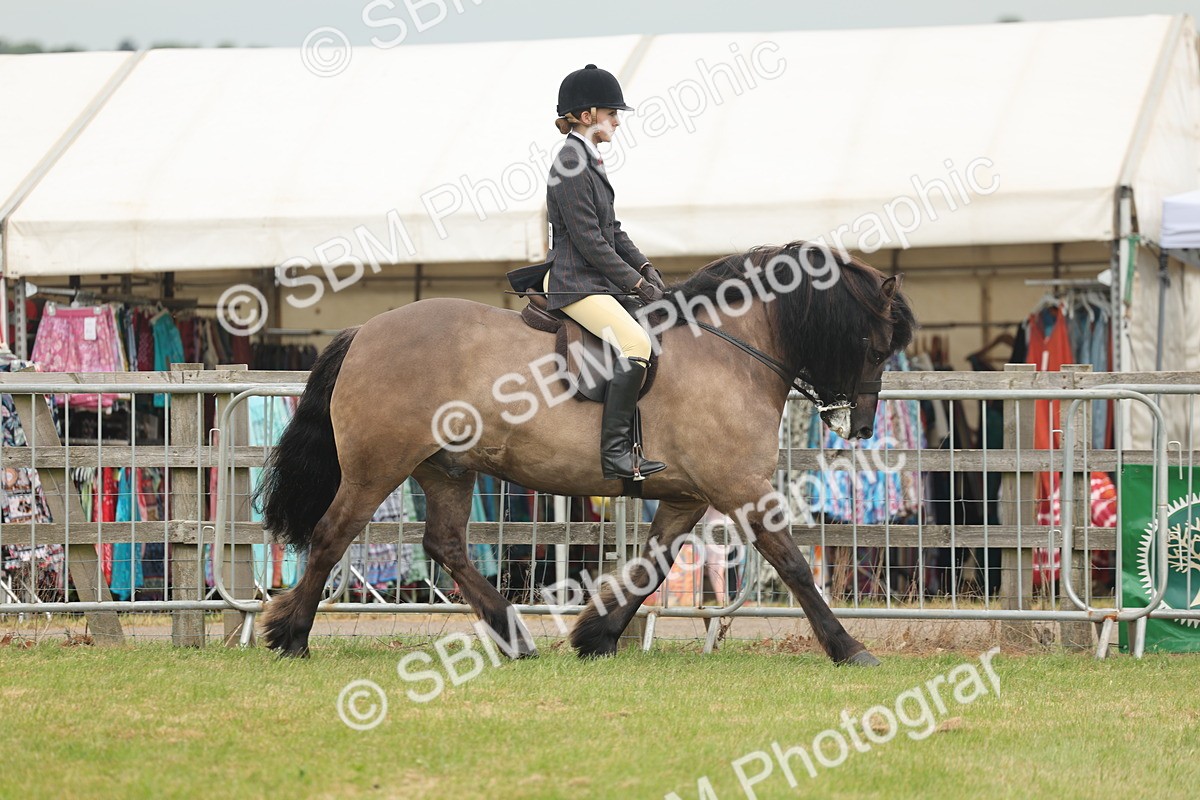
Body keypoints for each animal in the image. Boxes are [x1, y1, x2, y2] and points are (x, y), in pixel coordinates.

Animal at [255, 241, 916, 665]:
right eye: (874, 345)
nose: (859, 426)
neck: (731, 349)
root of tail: (364, 331)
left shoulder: (686, 496)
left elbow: (652, 567)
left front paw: (596, 636)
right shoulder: (740, 489)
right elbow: (794, 565)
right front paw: (849, 648)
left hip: (447, 468)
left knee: (444, 545)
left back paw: (514, 637)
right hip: (377, 467)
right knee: (333, 533)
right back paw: (292, 636)